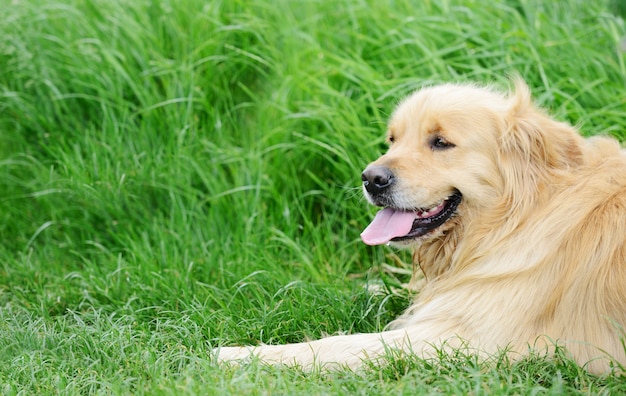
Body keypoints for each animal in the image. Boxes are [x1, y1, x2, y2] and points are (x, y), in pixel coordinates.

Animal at [214, 79, 624, 372]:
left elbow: (334, 344)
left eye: (440, 142)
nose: (371, 178)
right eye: (392, 139)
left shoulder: (469, 339)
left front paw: (239, 354)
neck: (514, 219)